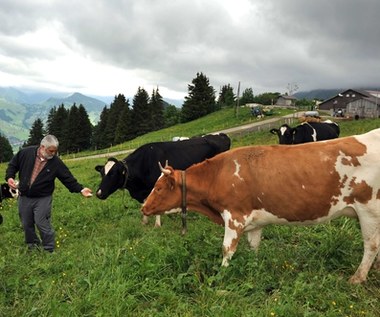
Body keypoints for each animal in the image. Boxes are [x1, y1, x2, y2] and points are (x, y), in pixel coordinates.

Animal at [95, 133, 232, 225]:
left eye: (113, 173)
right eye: (102, 173)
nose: (98, 193)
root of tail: (221, 135)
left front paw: (157, 225)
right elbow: (145, 204)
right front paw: (144, 222)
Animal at [142, 127, 380, 282]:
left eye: (159, 188)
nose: (143, 207)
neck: (217, 174)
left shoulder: (234, 217)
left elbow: (227, 249)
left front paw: (222, 273)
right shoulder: (253, 221)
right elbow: (254, 247)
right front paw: (254, 268)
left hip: (369, 210)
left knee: (371, 245)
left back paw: (357, 278)